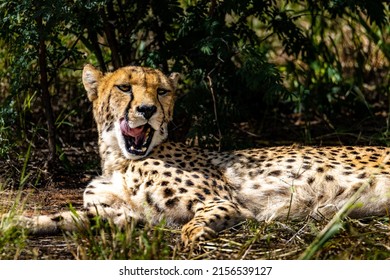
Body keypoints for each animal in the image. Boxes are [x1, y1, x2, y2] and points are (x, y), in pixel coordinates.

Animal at [8, 64, 390, 244]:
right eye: (124, 87)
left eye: (161, 91)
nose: (147, 110)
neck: (120, 159)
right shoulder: (122, 215)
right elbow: (63, 217)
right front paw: (17, 223)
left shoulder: (224, 202)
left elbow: (197, 220)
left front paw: (193, 235)